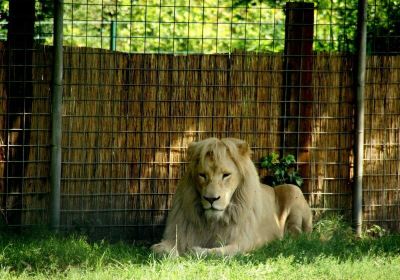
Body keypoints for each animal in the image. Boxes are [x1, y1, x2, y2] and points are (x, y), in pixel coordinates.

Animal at [152, 137, 310, 258]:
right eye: (202, 175)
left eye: (226, 175)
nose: (211, 199)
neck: (212, 222)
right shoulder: (177, 236)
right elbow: (158, 249)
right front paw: (174, 254)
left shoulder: (244, 243)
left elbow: (216, 252)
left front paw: (195, 251)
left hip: (292, 189)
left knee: (298, 232)